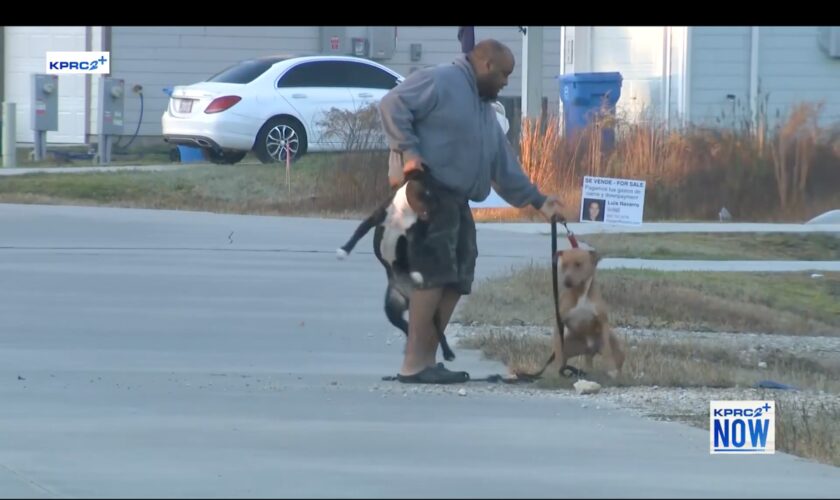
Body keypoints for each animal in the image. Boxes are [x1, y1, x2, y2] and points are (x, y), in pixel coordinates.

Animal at [336, 170, 456, 362]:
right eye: (429, 192)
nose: (440, 207)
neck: (404, 210)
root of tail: (408, 297)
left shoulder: (413, 235)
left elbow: (416, 251)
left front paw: (416, 272)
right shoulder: (375, 218)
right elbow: (358, 232)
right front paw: (344, 250)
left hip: (427, 307)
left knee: (437, 328)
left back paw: (448, 352)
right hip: (392, 306)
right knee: (405, 325)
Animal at [552, 246, 624, 378]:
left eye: (578, 264)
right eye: (564, 265)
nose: (567, 281)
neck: (581, 292)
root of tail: (589, 349)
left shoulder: (603, 322)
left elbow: (607, 350)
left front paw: (611, 369)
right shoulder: (559, 323)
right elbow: (558, 348)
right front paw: (555, 371)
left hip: (618, 349)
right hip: (571, 346)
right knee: (566, 358)